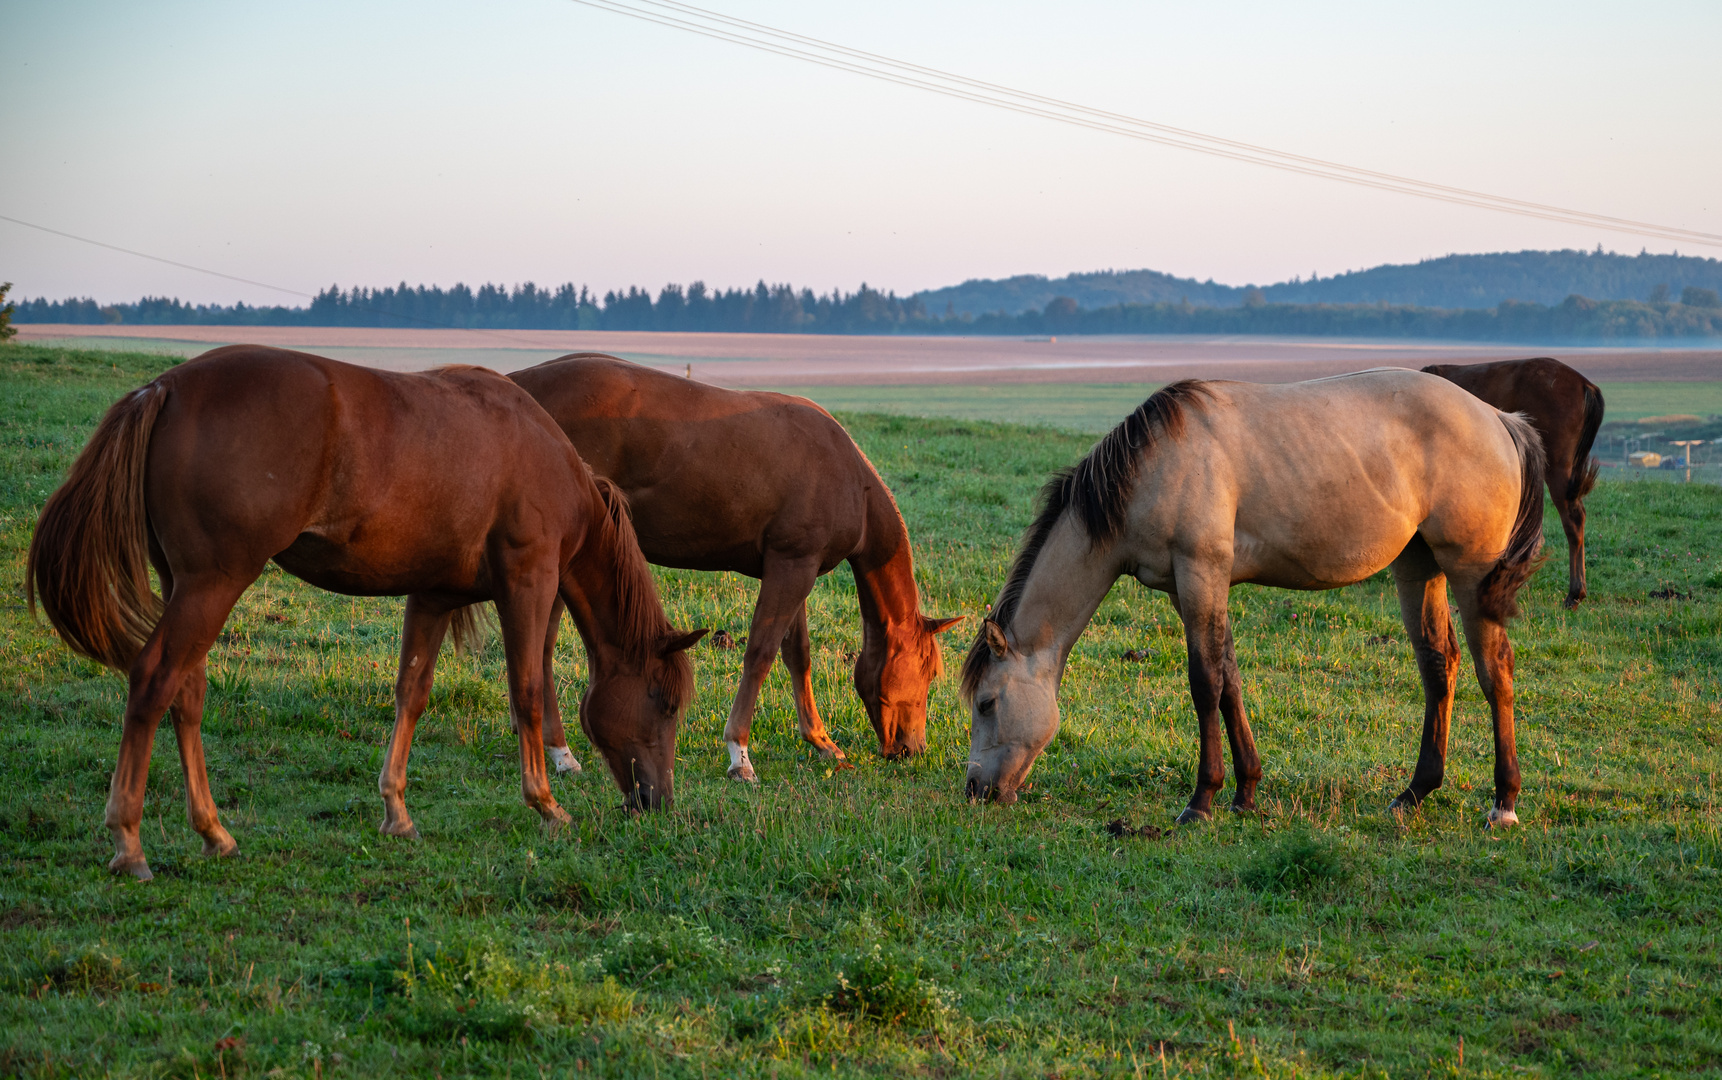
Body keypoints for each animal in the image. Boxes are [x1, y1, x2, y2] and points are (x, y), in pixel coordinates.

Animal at [26, 346, 702, 878]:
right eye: (665, 704)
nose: (658, 802)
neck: (545, 458)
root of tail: (163, 389)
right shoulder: (528, 584)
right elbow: (528, 694)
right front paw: (545, 803)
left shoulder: (433, 596)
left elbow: (412, 694)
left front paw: (397, 812)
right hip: (213, 585)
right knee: (152, 681)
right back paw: (129, 842)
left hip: (186, 587)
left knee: (185, 693)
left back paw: (214, 832)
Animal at [506, 360, 971, 782]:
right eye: (929, 673)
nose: (912, 748)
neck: (852, 480)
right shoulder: (791, 567)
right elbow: (761, 653)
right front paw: (739, 753)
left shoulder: (793, 566)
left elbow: (796, 654)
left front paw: (821, 741)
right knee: (541, 651)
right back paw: (561, 753)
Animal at [957, 370, 1549, 826]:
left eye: (987, 703)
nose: (976, 791)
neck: (1153, 468)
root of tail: (1499, 419)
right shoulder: (1189, 588)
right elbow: (1229, 681)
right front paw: (1245, 792)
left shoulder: (1201, 573)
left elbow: (1204, 684)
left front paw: (1202, 800)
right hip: (1418, 569)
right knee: (1438, 665)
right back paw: (1414, 792)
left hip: (1470, 575)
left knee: (1495, 670)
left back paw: (1503, 803)